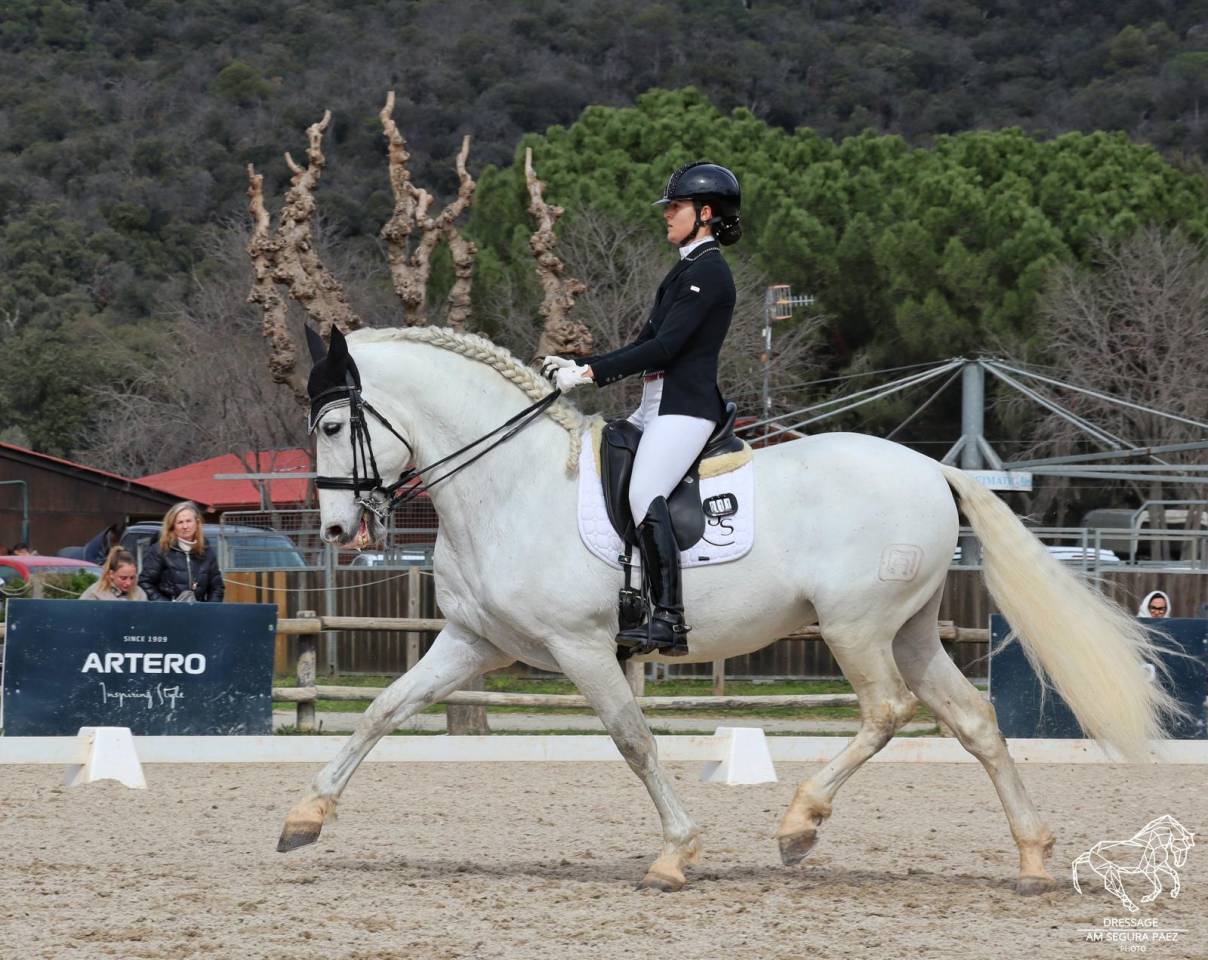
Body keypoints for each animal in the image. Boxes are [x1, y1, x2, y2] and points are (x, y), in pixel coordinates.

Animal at [278, 325, 1178, 894]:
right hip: (911, 630)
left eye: (333, 423)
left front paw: (676, 855)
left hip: (855, 627)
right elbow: (384, 712)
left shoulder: (580, 648)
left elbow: (633, 742)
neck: (508, 486)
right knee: (974, 722)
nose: (336, 530)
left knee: (887, 713)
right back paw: (1032, 859)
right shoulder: (473, 642)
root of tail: (932, 469)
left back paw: (800, 824)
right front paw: (304, 817)